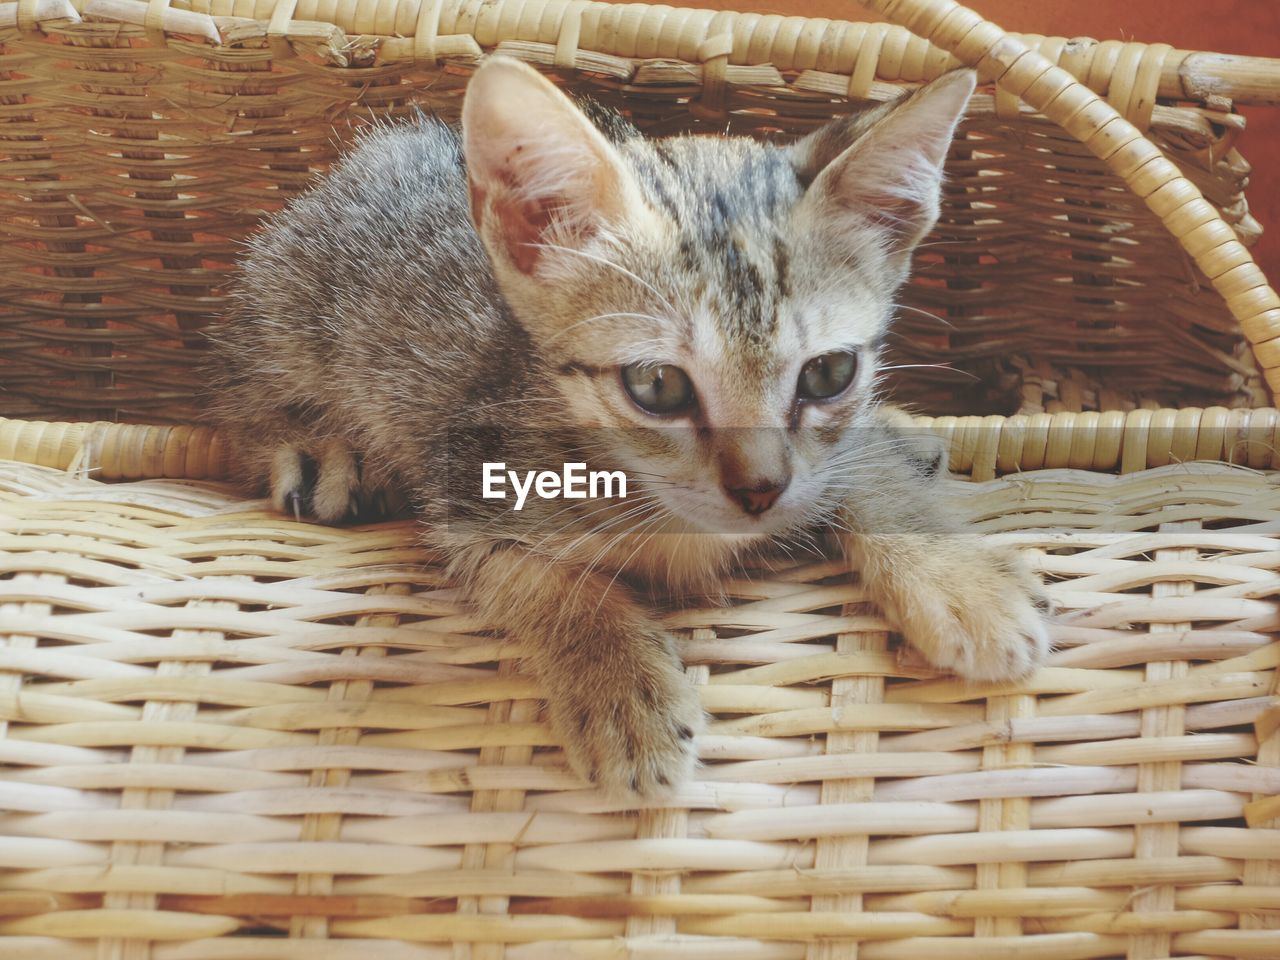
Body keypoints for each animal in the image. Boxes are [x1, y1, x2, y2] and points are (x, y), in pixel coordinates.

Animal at [207, 56, 1049, 798]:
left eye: (828, 374)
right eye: (657, 386)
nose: (760, 492)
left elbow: (856, 467)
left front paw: (960, 578)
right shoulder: (469, 486)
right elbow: (549, 581)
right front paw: (622, 693)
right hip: (287, 310)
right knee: (243, 395)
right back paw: (319, 452)